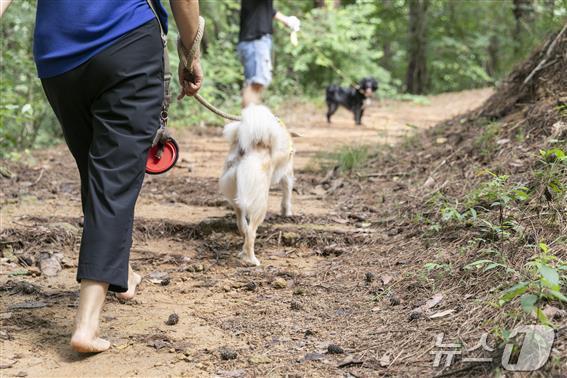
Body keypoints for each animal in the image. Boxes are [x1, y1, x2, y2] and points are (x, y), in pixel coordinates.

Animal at [219, 104, 296, 266]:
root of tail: (246, 150)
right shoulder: (287, 174)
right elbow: (287, 197)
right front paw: (287, 213)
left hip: (236, 193)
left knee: (242, 225)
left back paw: (242, 250)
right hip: (260, 203)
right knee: (251, 232)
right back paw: (252, 260)